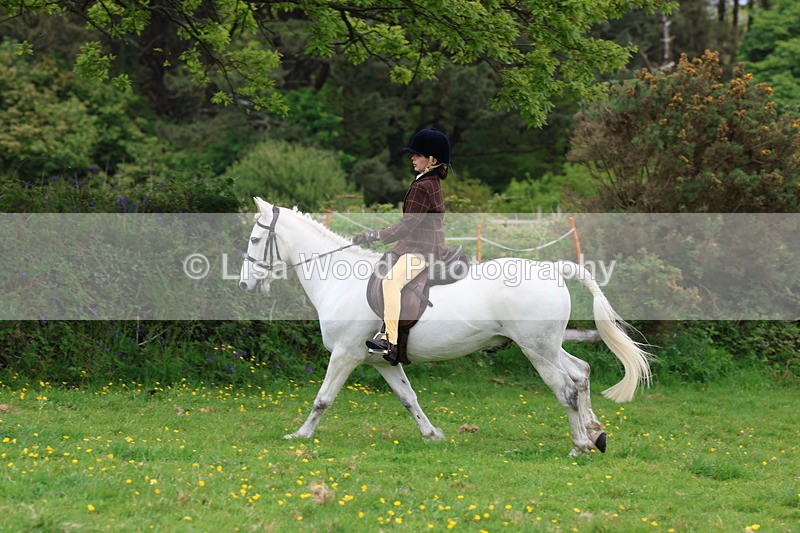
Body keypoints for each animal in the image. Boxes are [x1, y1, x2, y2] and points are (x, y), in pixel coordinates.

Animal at [238, 197, 651, 456]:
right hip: (546, 345)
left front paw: (301, 434)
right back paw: (596, 435)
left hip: (535, 349)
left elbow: (323, 398)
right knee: (580, 373)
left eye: (256, 239)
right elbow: (409, 398)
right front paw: (432, 435)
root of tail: (553, 269)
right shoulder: (381, 360)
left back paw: (579, 445)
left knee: (565, 388)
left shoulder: (344, 355)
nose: (245, 284)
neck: (341, 281)